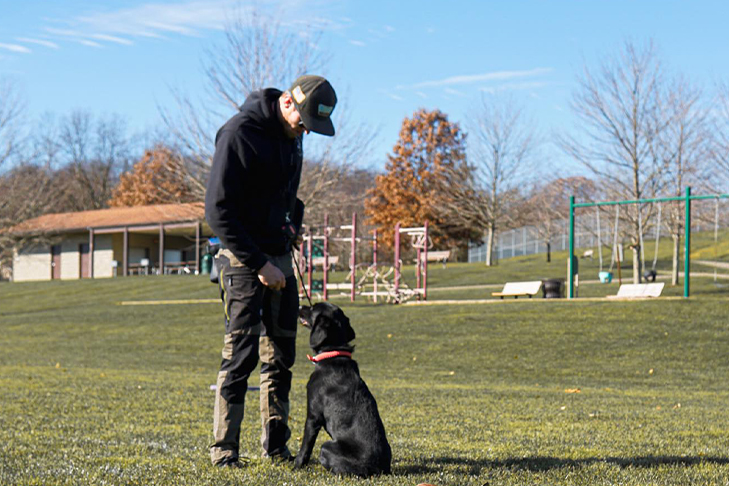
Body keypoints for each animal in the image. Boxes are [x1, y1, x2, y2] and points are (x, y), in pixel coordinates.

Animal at [292, 302, 390, 476]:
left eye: (313, 308)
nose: (300, 305)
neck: (333, 354)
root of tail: (379, 469)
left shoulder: (313, 416)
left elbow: (305, 449)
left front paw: (296, 467)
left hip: (326, 447)